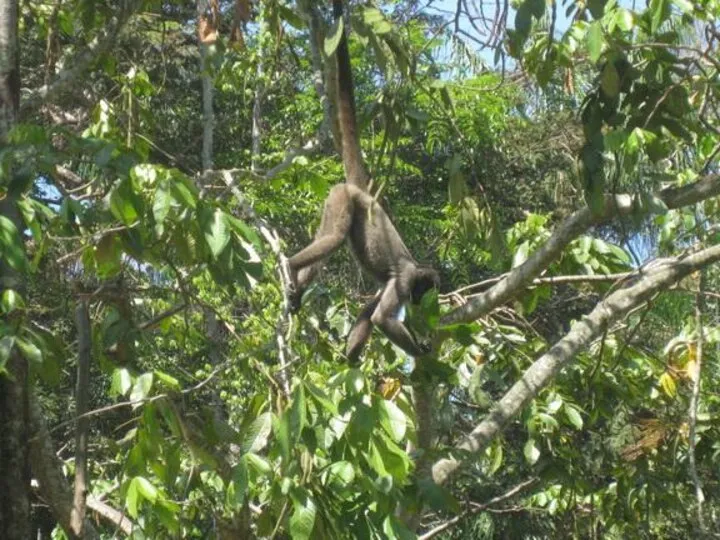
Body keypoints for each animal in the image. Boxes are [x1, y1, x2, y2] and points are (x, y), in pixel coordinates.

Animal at [286, 1, 438, 362]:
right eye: (423, 293)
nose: (419, 303)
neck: (416, 266)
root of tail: (362, 192)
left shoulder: (392, 284)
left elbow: (369, 313)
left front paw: (351, 359)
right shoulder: (404, 279)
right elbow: (382, 318)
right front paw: (423, 353)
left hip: (334, 201)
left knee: (324, 242)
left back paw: (298, 290)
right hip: (343, 197)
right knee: (334, 238)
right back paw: (290, 265)